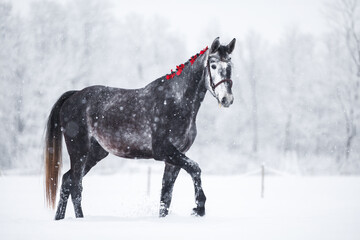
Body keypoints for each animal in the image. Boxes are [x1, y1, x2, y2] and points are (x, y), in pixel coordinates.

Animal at [44, 37, 236, 219]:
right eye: (213, 65)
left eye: (230, 66)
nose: (227, 99)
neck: (176, 101)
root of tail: (74, 96)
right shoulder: (164, 151)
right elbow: (195, 168)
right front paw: (199, 208)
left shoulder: (175, 157)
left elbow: (166, 196)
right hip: (79, 152)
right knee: (76, 187)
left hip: (95, 153)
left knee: (67, 181)